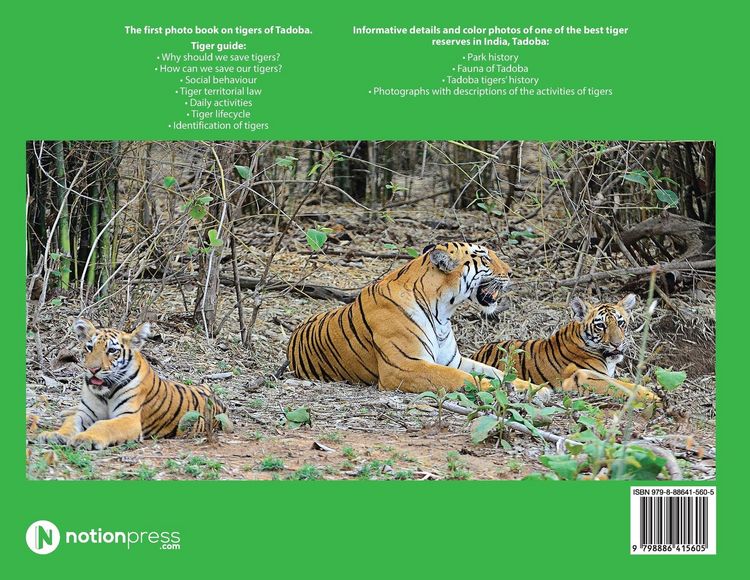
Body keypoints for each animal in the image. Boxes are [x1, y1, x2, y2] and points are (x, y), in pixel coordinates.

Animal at [36, 319, 232, 450]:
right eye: (89, 348)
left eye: (112, 351)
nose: (92, 369)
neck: (105, 393)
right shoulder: (85, 413)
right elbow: (70, 423)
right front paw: (54, 435)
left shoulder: (129, 418)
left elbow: (104, 425)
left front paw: (86, 438)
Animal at [287, 242, 514, 394]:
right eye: (485, 258)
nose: (511, 272)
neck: (442, 312)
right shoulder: (404, 367)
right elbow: (462, 378)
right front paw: (505, 390)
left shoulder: (453, 360)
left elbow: (495, 371)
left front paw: (521, 385)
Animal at [472, 294, 659, 403]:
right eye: (600, 326)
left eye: (620, 323)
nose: (617, 343)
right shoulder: (584, 377)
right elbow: (622, 386)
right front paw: (652, 395)